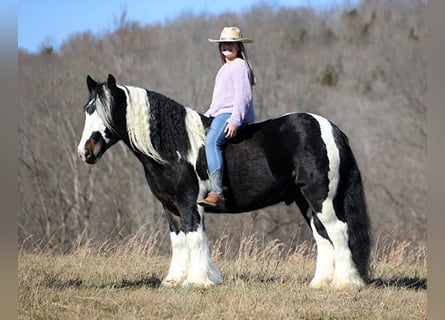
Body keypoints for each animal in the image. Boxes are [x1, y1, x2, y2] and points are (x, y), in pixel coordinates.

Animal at [78, 74, 370, 288]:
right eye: (87, 110)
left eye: (106, 112)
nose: (85, 152)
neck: (174, 149)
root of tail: (329, 128)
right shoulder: (170, 207)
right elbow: (179, 241)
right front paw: (174, 281)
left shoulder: (189, 204)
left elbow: (195, 238)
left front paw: (198, 281)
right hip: (305, 200)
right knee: (322, 236)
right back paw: (321, 283)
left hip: (321, 197)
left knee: (339, 231)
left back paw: (346, 283)